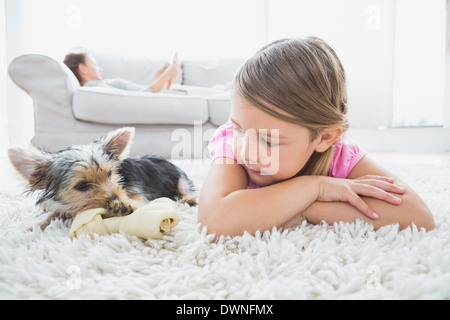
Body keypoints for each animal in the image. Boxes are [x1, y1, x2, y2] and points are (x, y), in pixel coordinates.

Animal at [7, 126, 196, 229]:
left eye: (110, 174)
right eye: (82, 186)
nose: (118, 198)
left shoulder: (137, 193)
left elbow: (137, 202)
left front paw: (124, 205)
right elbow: (53, 214)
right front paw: (32, 225)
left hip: (180, 176)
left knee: (185, 187)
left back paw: (189, 199)